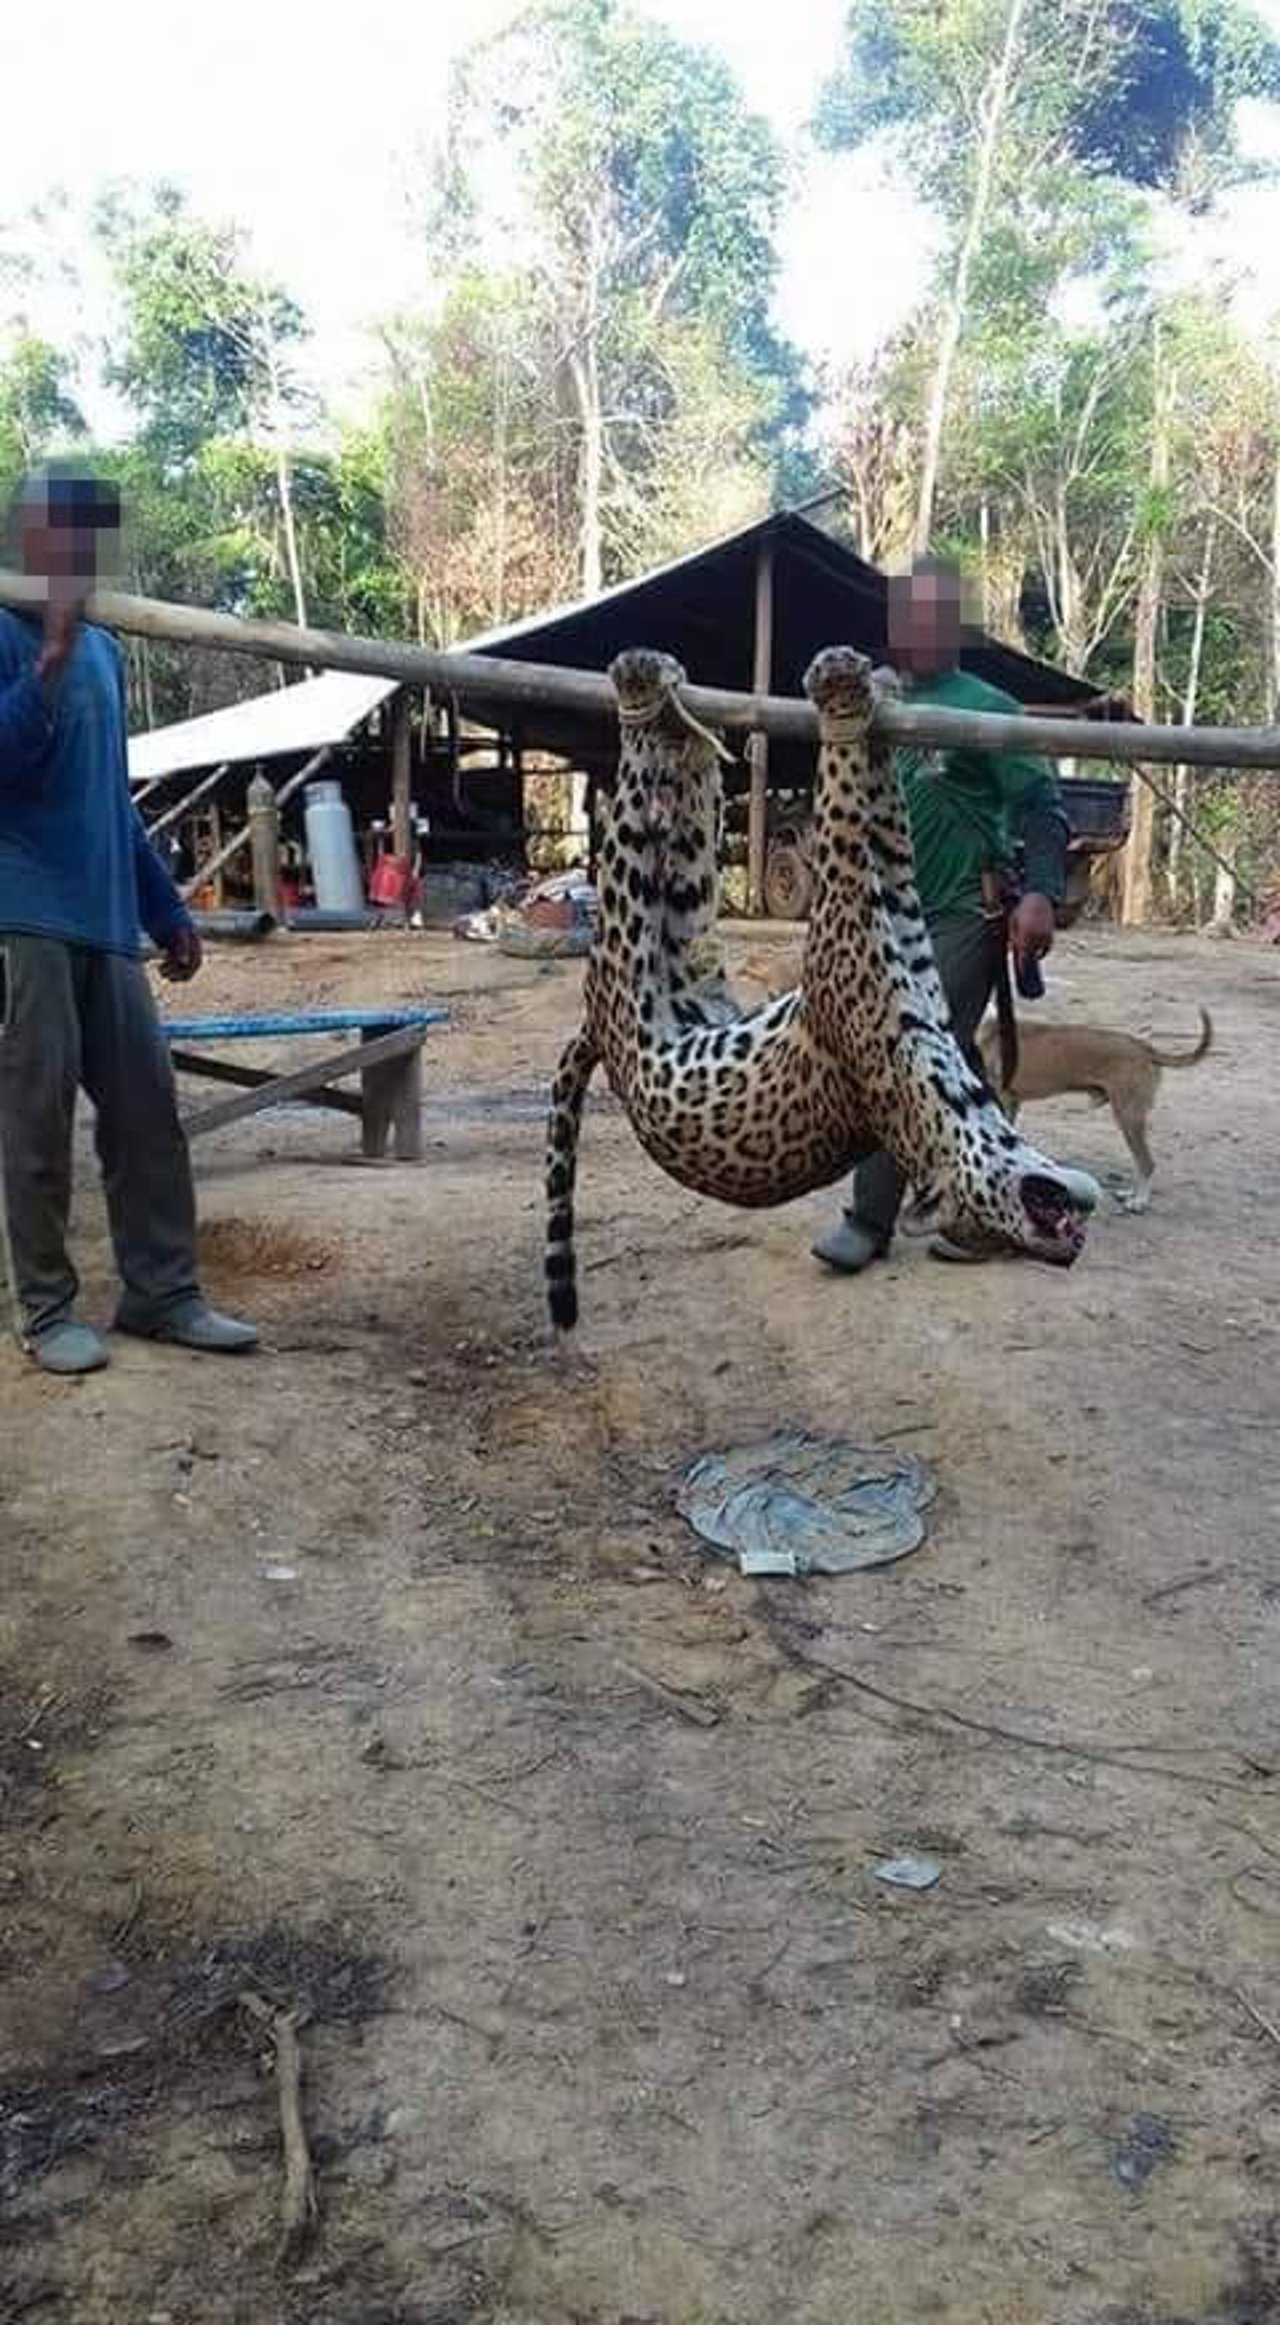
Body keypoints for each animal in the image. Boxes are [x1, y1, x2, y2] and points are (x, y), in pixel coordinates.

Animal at [980, 1004, 1207, 1218]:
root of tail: (1143, 1047)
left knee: (1146, 1163)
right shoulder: (1012, 1102)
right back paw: (1130, 1194)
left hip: (1128, 1116)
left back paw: (1138, 1202)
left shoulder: (1002, 1099)